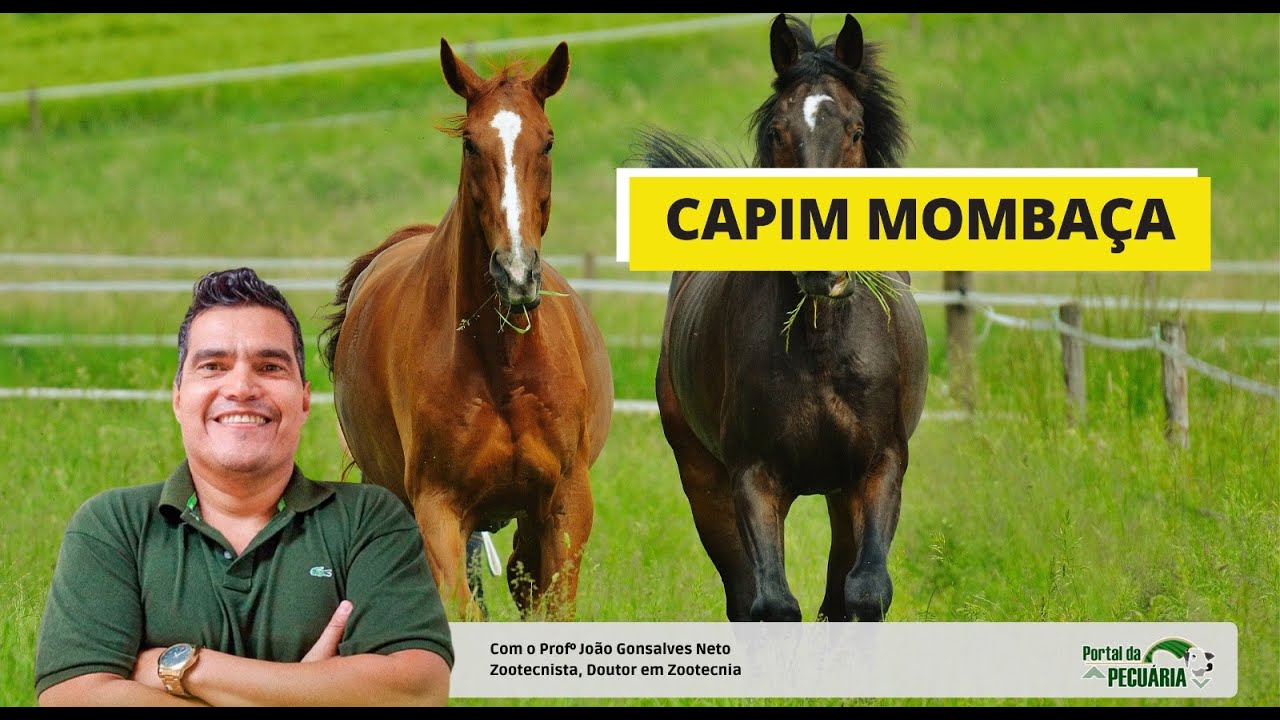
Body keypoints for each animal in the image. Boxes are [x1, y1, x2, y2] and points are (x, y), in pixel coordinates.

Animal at [321, 38, 613, 621]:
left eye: (548, 142)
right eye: (470, 145)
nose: (516, 273)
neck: (502, 366)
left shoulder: (566, 503)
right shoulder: (438, 509)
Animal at [639, 13, 928, 622]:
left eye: (856, 130)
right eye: (777, 131)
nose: (820, 266)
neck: (821, 348)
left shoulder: (879, 467)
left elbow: (863, 591)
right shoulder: (753, 476)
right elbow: (771, 602)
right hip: (702, 479)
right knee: (743, 594)